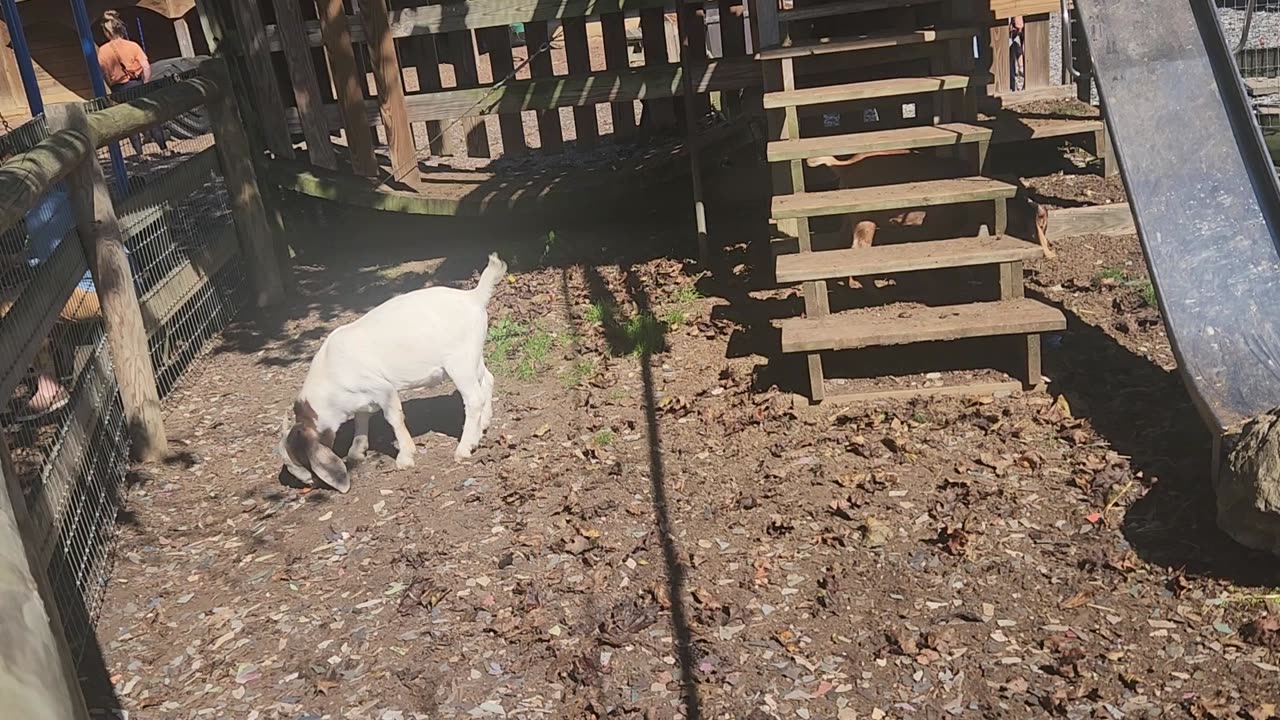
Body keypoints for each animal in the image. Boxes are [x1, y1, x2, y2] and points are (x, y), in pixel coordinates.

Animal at [277, 249, 506, 489]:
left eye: (303, 461)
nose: (308, 483)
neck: (330, 378)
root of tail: (474, 296)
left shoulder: (381, 388)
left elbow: (393, 417)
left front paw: (405, 457)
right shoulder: (360, 398)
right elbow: (361, 419)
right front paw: (356, 452)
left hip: (459, 362)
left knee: (474, 398)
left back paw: (464, 447)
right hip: (473, 355)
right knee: (487, 380)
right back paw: (483, 426)